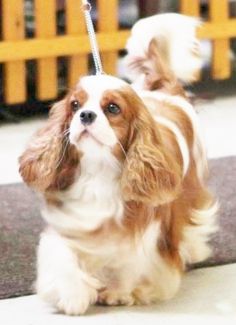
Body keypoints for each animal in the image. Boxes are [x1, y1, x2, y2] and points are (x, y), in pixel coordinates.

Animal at [19, 13, 218, 314]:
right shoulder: (70, 227)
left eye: (112, 108)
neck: (97, 171)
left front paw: (119, 292)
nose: (86, 115)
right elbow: (63, 257)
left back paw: (192, 248)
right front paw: (72, 294)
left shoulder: (145, 239)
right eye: (75, 105)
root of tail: (166, 92)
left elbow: (130, 266)